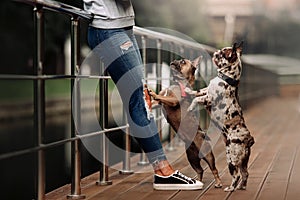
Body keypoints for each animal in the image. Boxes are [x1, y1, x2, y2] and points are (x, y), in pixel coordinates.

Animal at [189, 41, 254, 191]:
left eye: (223, 53)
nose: (216, 52)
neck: (228, 78)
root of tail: (248, 139)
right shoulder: (206, 91)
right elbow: (198, 91)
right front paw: (189, 90)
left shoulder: (208, 99)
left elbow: (197, 99)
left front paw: (190, 107)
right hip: (243, 161)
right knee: (245, 173)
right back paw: (241, 187)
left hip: (231, 158)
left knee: (237, 174)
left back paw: (231, 188)